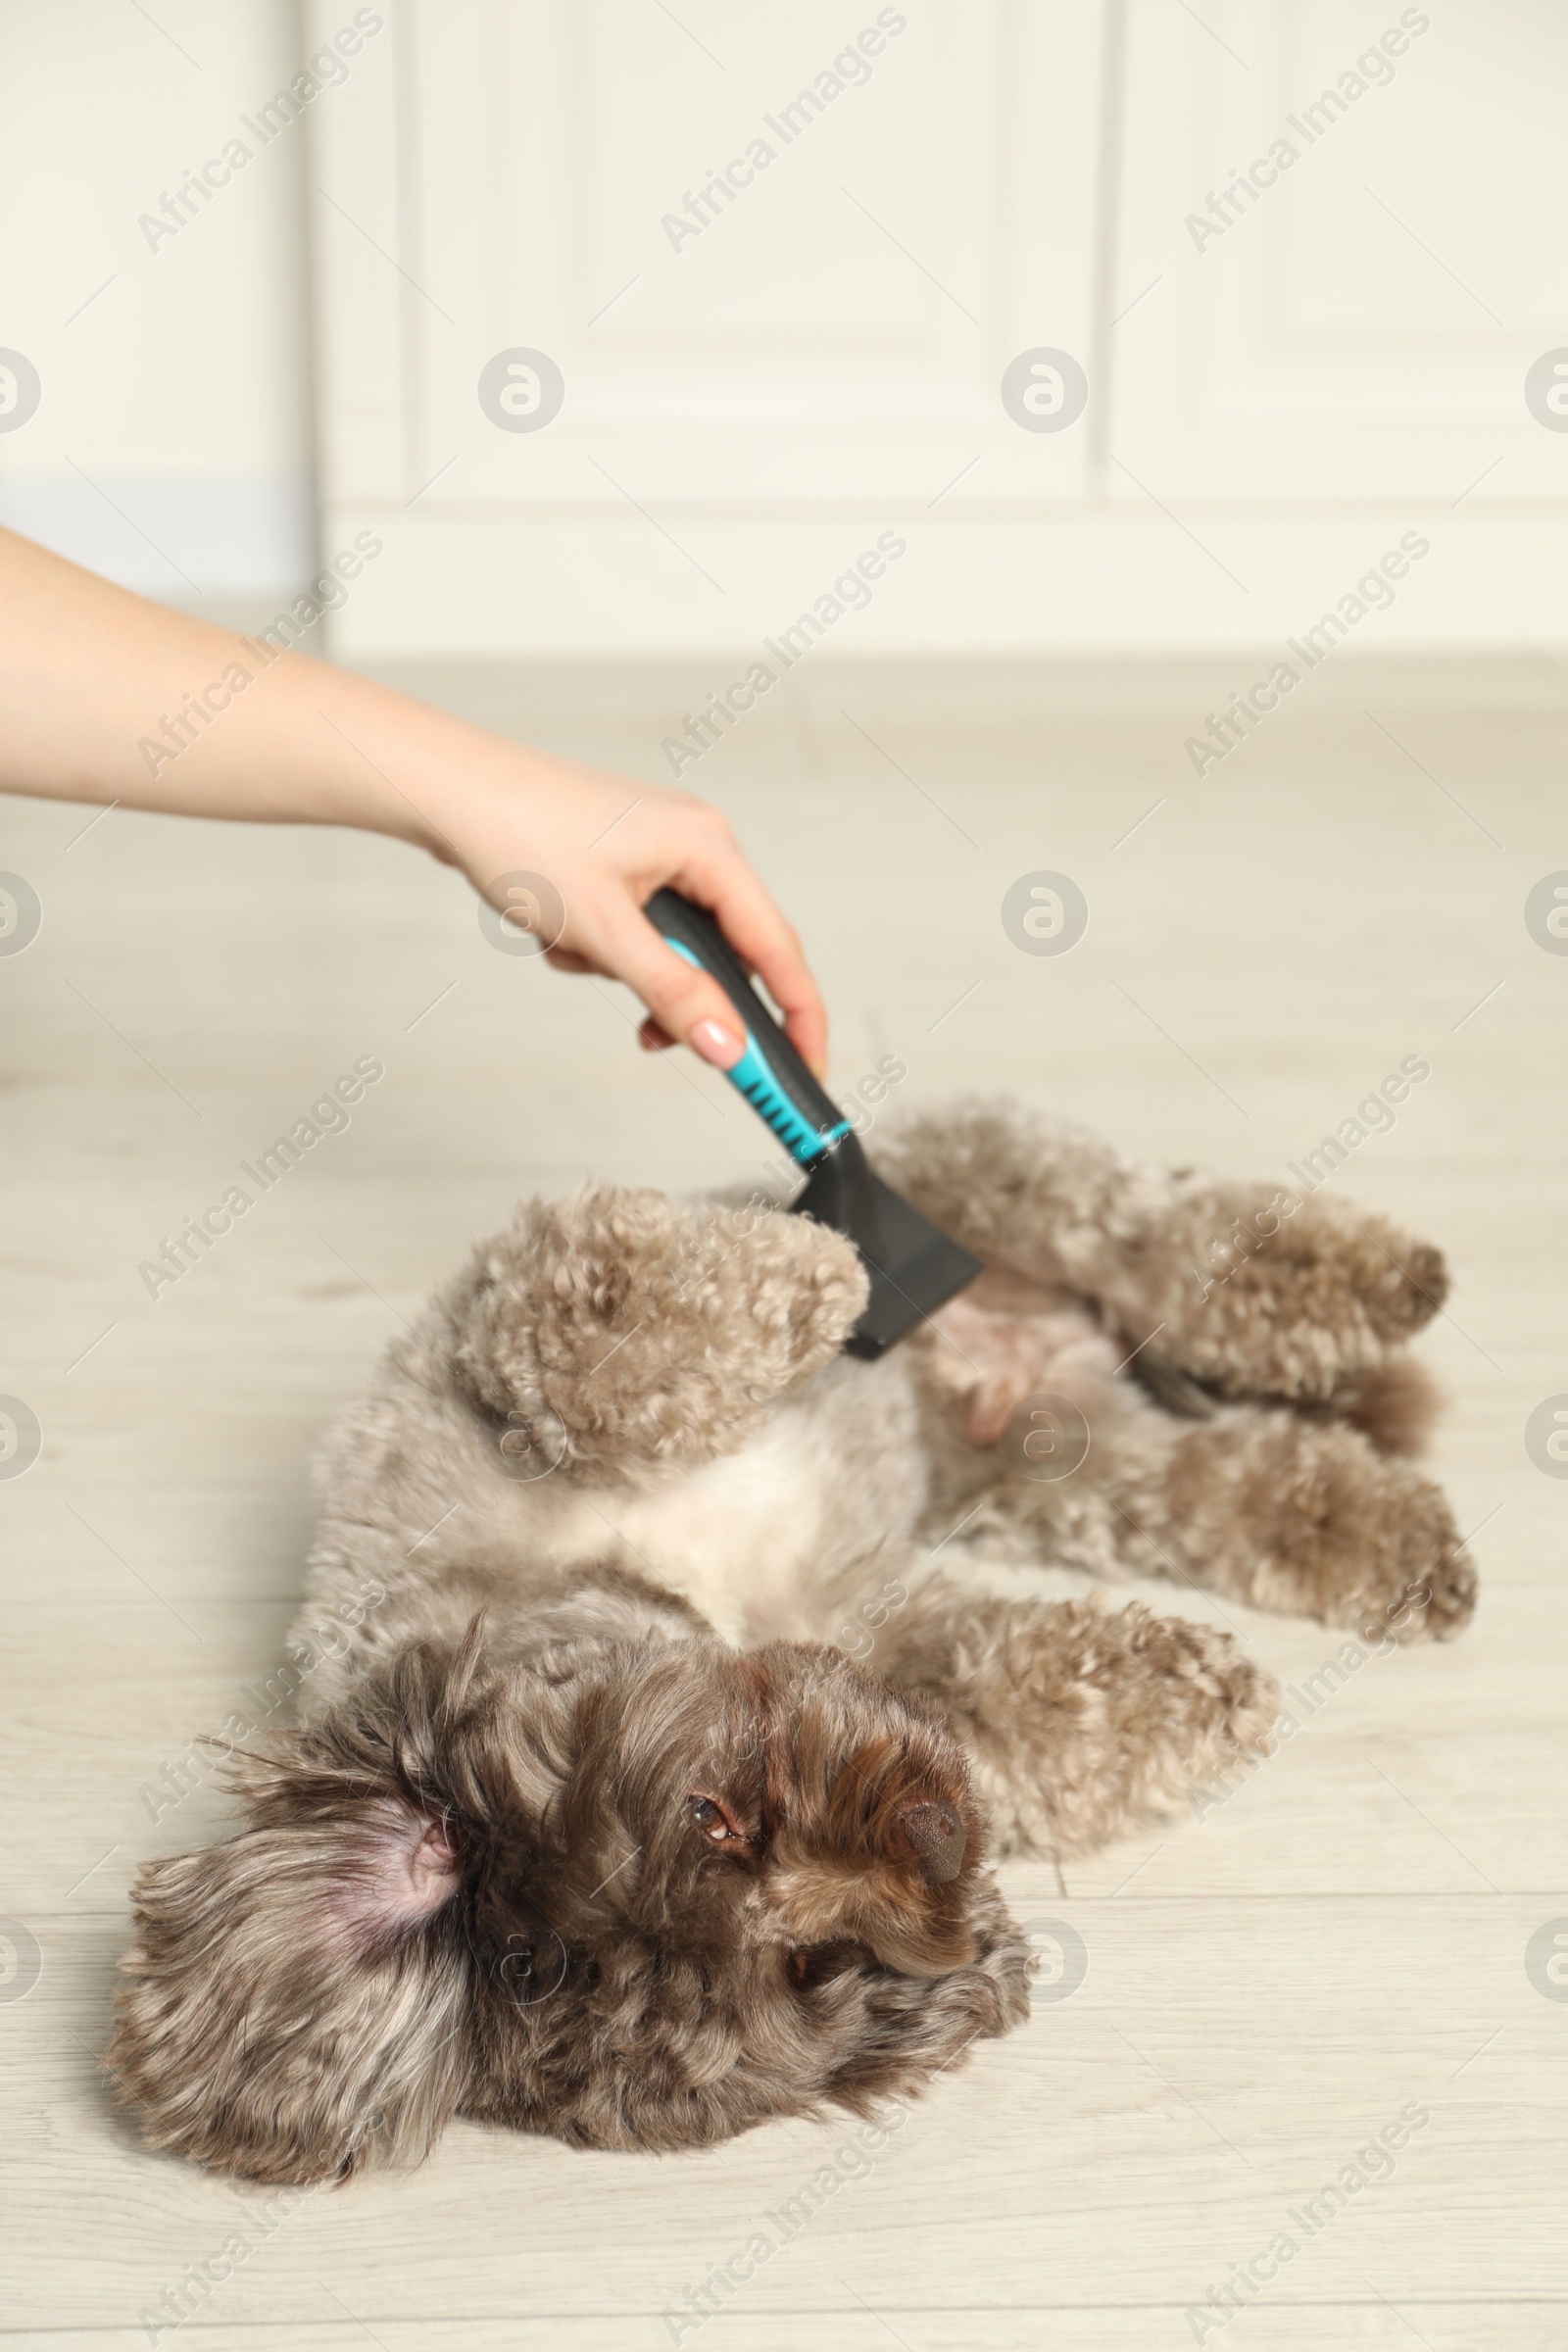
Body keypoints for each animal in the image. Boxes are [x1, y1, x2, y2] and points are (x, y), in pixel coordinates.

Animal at [107, 1101, 1476, 2182]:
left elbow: (592, 1351)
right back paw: (1392, 1542)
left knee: (1171, 1236)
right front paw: (1188, 1696)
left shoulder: (499, 1335)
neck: (644, 1575)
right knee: (1241, 1474)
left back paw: (1373, 1277)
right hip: (1068, 1466)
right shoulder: (877, 1649)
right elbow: (1024, 1699)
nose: (936, 1848)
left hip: (998, 1172)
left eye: (714, 1815)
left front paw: (810, 1278)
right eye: (815, 1963)